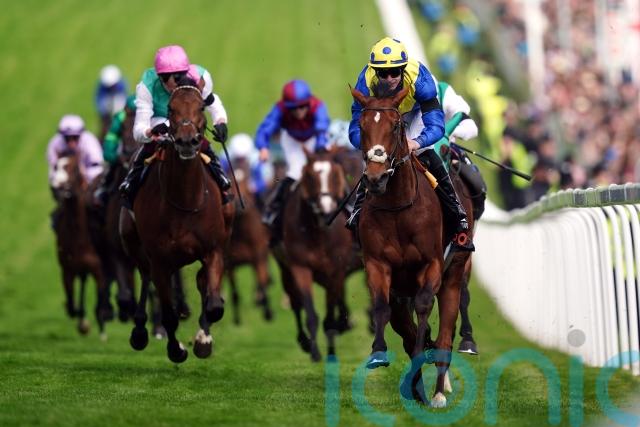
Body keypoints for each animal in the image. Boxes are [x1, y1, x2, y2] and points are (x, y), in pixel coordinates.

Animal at [50, 152, 110, 337]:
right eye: (55, 166)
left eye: (74, 168)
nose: (57, 187)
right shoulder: (67, 270)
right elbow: (71, 305)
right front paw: (82, 321)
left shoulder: (99, 269)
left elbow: (101, 297)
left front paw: (101, 329)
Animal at [119, 83, 234, 363]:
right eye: (171, 109)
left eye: (201, 107)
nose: (186, 141)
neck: (185, 200)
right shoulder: (160, 260)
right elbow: (168, 314)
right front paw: (177, 349)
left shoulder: (214, 249)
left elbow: (214, 306)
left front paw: (203, 340)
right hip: (133, 242)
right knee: (145, 275)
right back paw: (139, 331)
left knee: (202, 283)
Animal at [224, 157, 273, 324]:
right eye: (229, 182)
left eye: (247, 178)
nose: (239, 205)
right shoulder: (230, 263)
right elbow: (234, 292)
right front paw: (237, 320)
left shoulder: (258, 256)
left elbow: (262, 284)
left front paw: (268, 313)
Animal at [273, 149, 358, 362]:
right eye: (310, 176)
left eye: (336, 174)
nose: (326, 209)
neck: (320, 233)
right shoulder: (300, 267)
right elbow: (310, 312)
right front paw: (314, 352)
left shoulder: (336, 270)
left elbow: (330, 315)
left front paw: (332, 353)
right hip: (285, 269)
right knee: (295, 303)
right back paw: (304, 340)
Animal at [350, 86, 474, 407]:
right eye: (361, 127)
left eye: (395, 126)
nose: (376, 177)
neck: (398, 208)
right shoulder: (378, 265)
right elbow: (383, 309)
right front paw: (378, 354)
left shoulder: (431, 265)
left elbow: (423, 308)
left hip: (454, 273)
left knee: (445, 335)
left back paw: (439, 392)